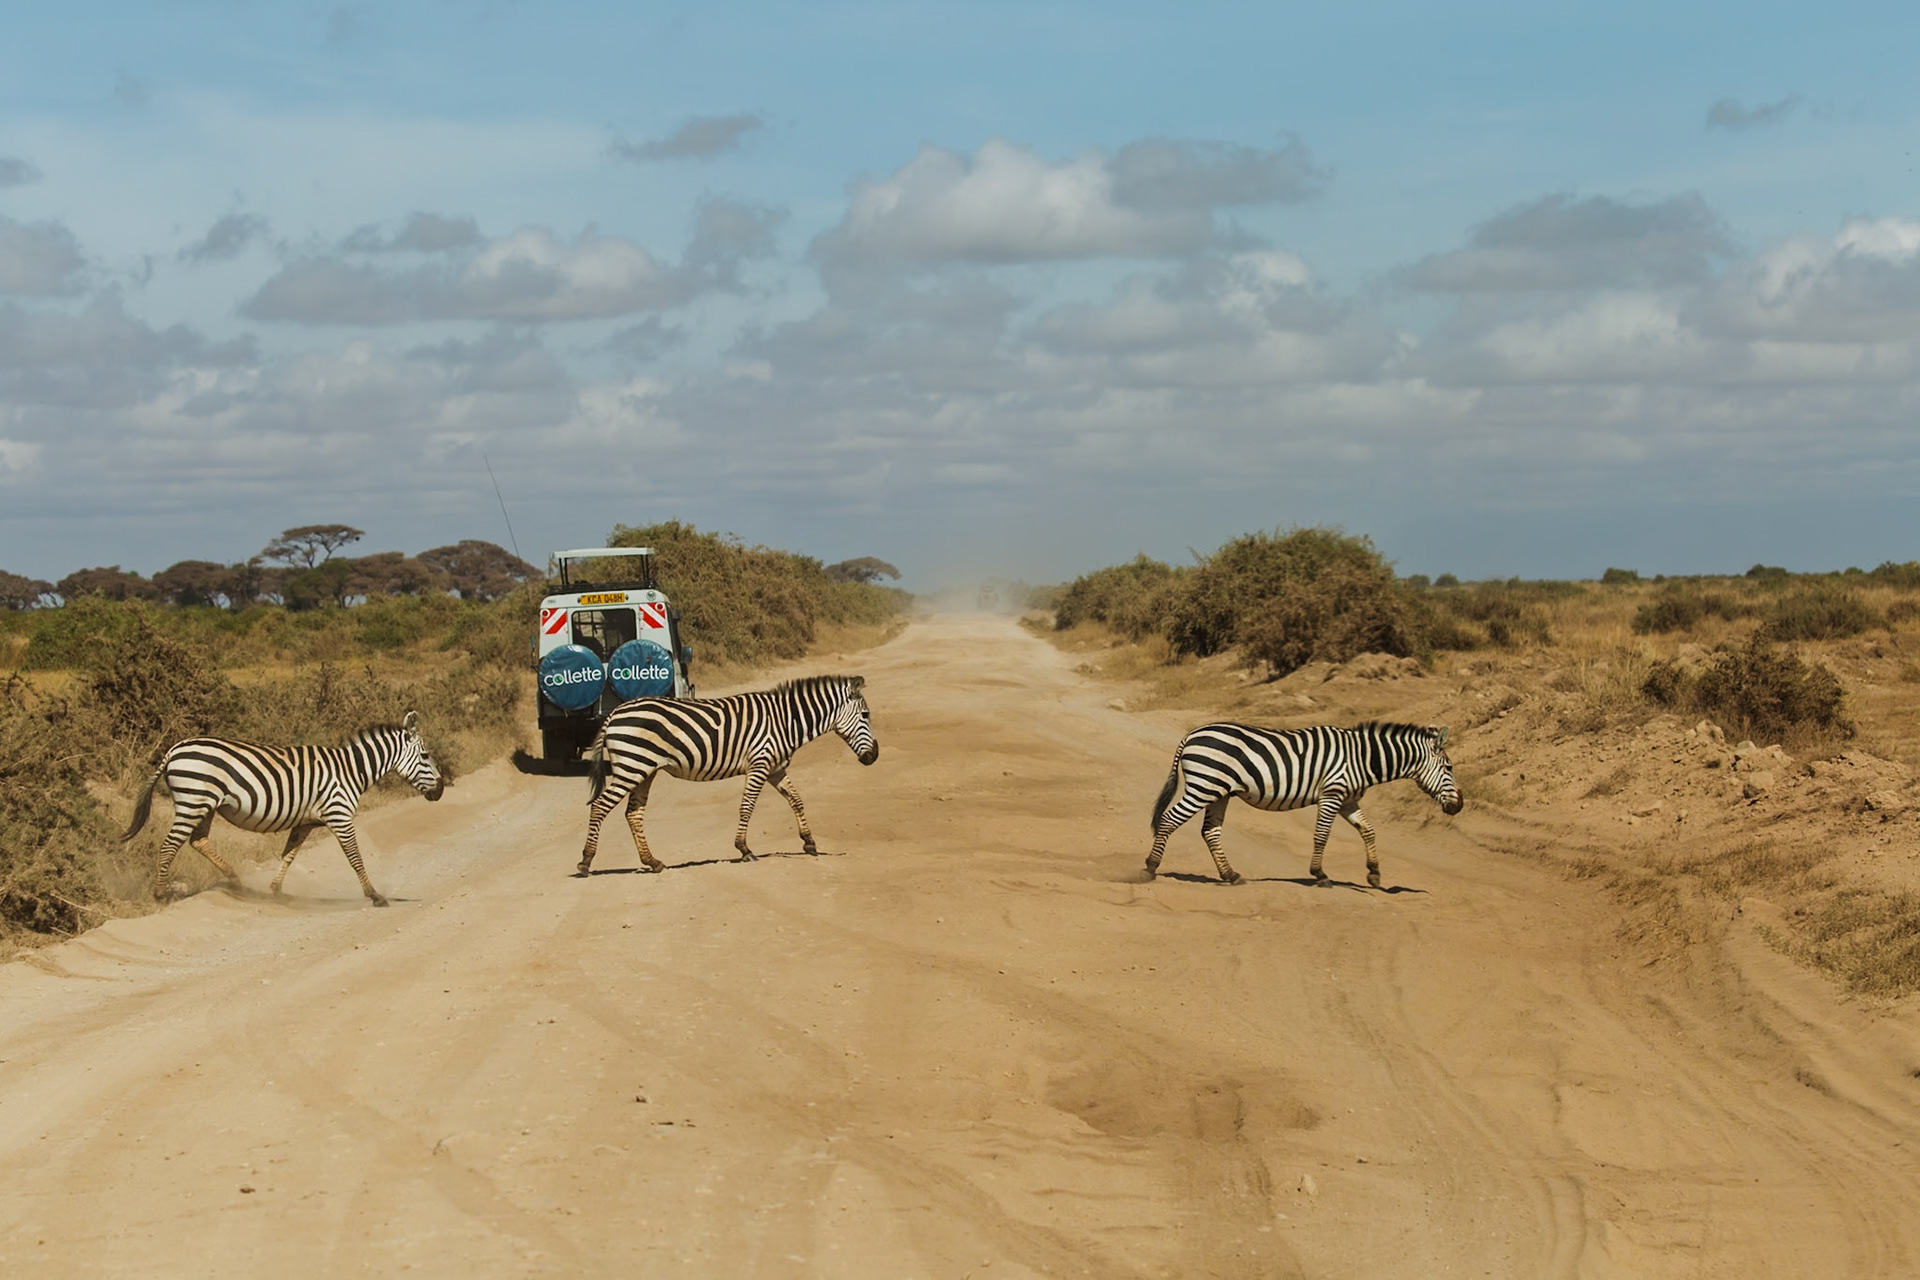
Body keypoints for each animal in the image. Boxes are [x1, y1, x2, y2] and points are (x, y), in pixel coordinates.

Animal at [121, 711, 445, 906]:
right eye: (426, 755)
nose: (441, 790)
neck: (350, 771)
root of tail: (174, 749)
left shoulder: (305, 822)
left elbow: (289, 854)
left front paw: (276, 891)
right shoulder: (339, 814)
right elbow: (355, 857)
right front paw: (375, 895)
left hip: (205, 804)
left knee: (198, 840)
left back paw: (235, 880)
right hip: (194, 799)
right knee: (169, 845)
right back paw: (161, 894)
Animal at [577, 674, 879, 875]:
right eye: (865, 715)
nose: (874, 757)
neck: (785, 722)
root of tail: (616, 712)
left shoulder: (775, 768)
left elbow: (796, 800)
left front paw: (809, 842)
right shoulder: (759, 764)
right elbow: (747, 806)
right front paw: (744, 849)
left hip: (644, 768)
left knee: (633, 813)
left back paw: (653, 862)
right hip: (632, 766)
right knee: (600, 806)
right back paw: (586, 861)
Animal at [1145, 721, 1462, 888]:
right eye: (1449, 767)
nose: (1459, 806)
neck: (1361, 758)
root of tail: (1191, 734)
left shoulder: (1348, 800)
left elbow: (1369, 831)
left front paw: (1374, 873)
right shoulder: (1332, 793)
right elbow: (1322, 835)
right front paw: (1320, 874)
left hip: (1218, 791)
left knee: (1210, 832)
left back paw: (1230, 875)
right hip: (1204, 785)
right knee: (1169, 820)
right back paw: (1149, 868)